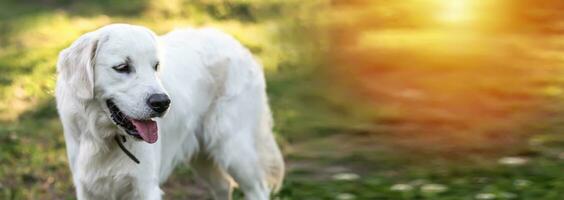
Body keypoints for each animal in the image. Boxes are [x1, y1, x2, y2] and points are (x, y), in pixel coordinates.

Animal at [55, 23, 284, 200]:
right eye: (122, 67)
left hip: (234, 150)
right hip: (204, 156)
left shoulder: (145, 187)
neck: (107, 140)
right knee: (223, 186)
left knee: (258, 190)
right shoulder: (87, 188)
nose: (162, 103)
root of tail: (238, 45)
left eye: (155, 66)